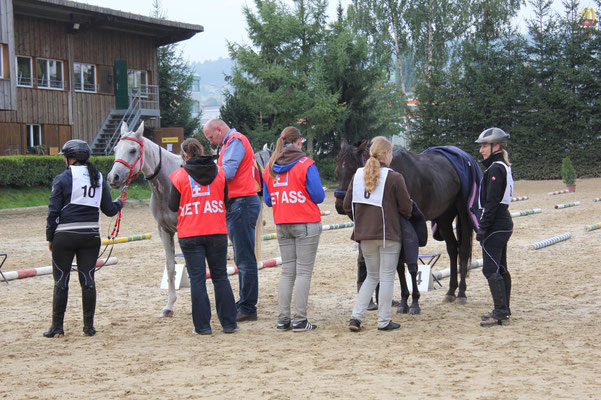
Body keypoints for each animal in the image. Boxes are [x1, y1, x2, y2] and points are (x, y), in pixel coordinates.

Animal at [106, 120, 180, 318]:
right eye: (115, 149)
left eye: (133, 150)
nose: (113, 177)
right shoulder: (165, 230)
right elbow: (170, 267)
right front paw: (169, 307)